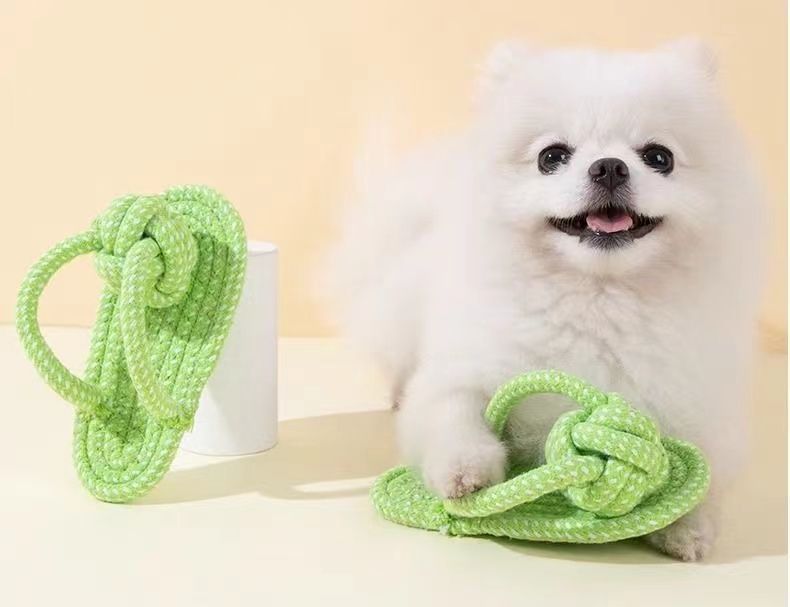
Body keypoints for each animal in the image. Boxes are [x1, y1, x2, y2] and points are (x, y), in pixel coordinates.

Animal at [326, 39, 763, 560]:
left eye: (659, 157)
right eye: (551, 156)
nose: (609, 166)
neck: (595, 298)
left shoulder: (697, 405)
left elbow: (708, 471)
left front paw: (688, 526)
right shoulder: (462, 370)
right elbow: (451, 415)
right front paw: (464, 472)